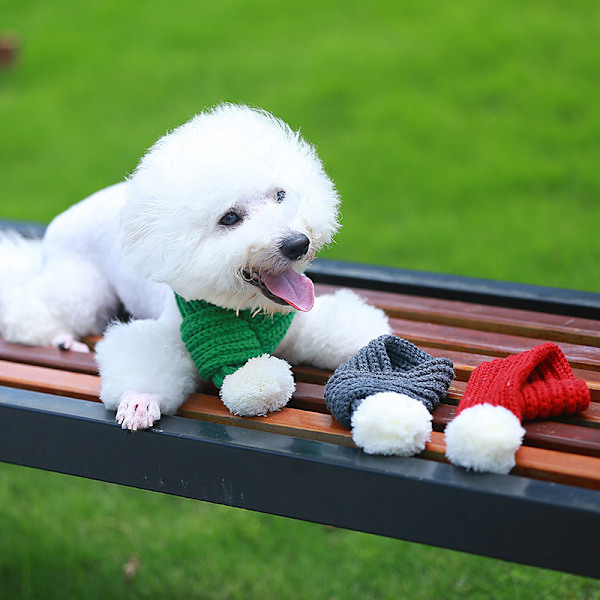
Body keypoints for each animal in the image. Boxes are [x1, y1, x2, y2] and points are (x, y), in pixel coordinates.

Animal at [0, 104, 390, 432]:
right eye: (229, 218)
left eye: (281, 195)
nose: (298, 244)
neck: (245, 310)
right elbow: (146, 358)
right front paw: (140, 400)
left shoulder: (297, 323)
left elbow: (337, 330)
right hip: (83, 288)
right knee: (31, 309)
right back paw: (60, 337)